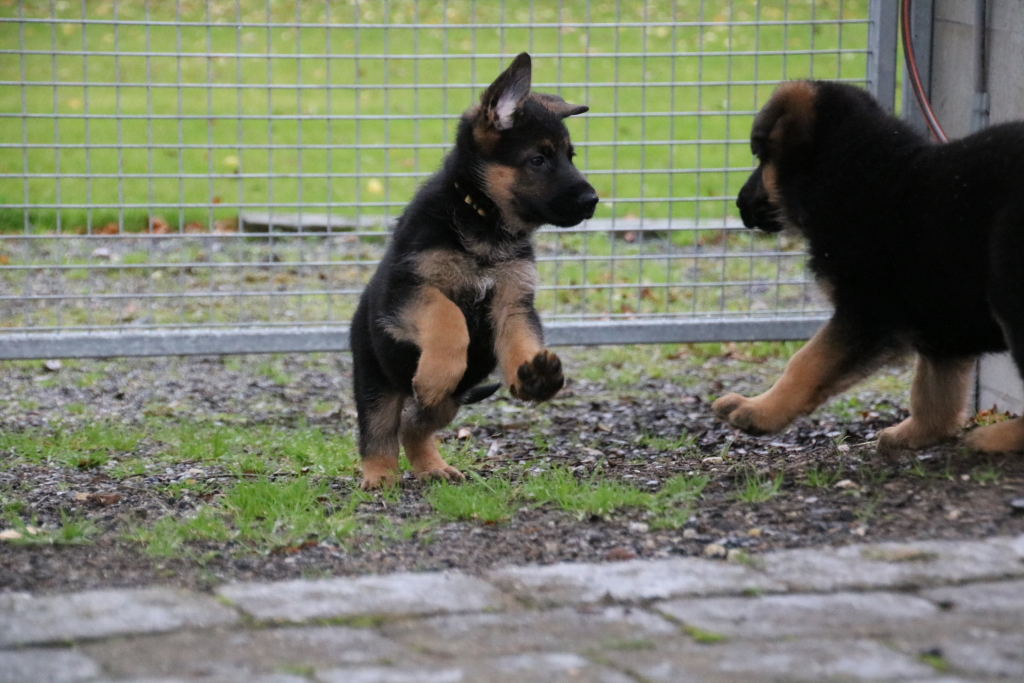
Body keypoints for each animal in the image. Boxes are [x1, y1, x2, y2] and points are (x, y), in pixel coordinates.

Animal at [350, 53, 598, 489]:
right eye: (538, 159)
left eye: (570, 157)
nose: (593, 200)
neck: (484, 221)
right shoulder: (406, 291)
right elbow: (448, 316)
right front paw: (436, 373)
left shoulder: (513, 301)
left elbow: (522, 339)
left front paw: (536, 376)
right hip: (377, 376)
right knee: (379, 430)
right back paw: (379, 475)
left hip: (451, 401)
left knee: (415, 426)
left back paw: (432, 466)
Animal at [712, 80, 1024, 454]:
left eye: (761, 158)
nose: (738, 203)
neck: (866, 171)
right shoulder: (939, 319)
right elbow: (932, 389)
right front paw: (919, 433)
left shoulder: (866, 312)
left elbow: (805, 361)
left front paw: (759, 410)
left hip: (1009, 287)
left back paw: (999, 437)